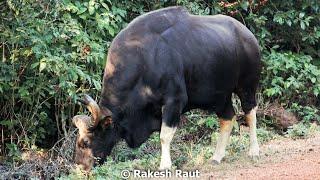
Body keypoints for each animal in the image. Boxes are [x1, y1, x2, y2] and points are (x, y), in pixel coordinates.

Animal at [73, 6, 262, 171]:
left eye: (86, 142)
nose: (81, 168)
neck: (144, 59)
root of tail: (248, 35)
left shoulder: (174, 101)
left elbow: (164, 136)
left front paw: (165, 166)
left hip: (247, 86)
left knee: (250, 113)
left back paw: (254, 151)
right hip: (220, 96)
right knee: (228, 117)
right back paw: (217, 156)